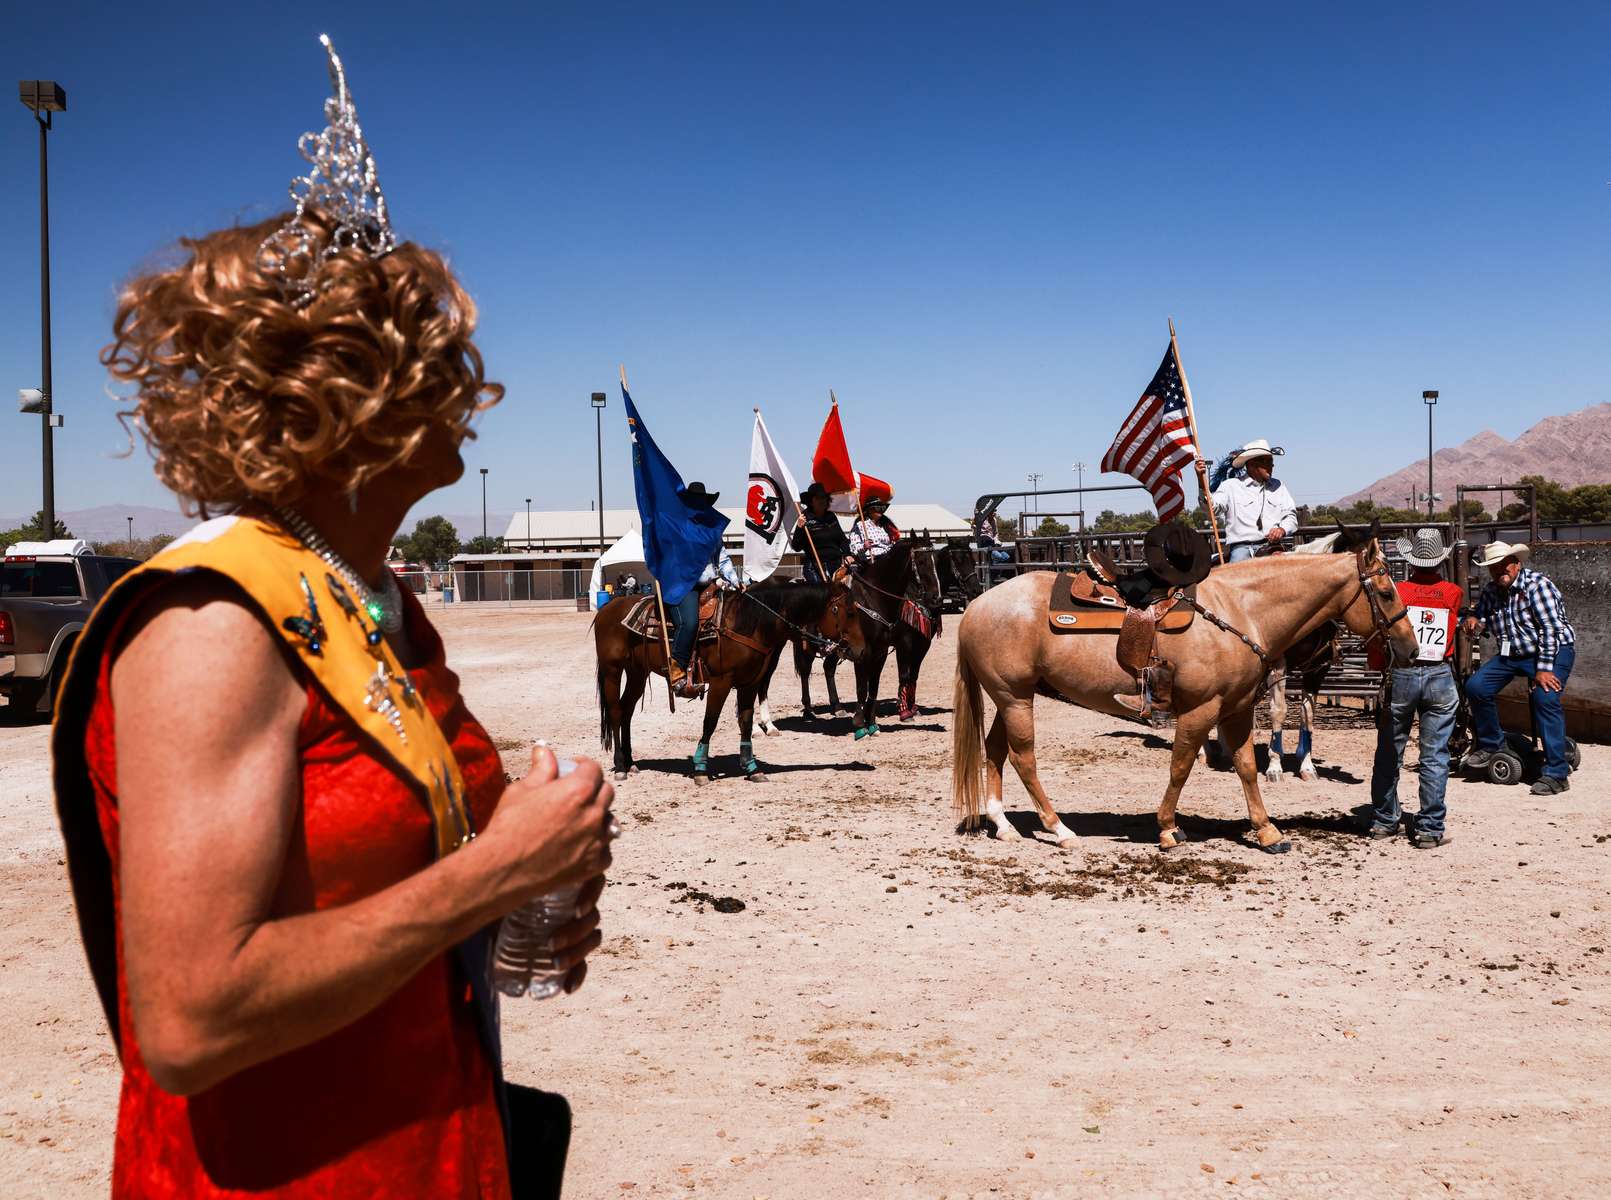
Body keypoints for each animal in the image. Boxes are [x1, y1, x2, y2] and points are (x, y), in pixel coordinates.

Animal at [596, 576, 869, 782]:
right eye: (850, 612)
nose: (861, 650)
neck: (748, 622)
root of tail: (607, 610)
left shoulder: (750, 682)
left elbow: (746, 722)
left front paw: (751, 767)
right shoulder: (721, 681)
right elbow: (710, 722)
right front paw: (700, 768)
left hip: (637, 673)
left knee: (627, 710)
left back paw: (630, 762)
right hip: (612, 670)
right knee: (616, 711)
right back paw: (620, 766)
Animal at [947, 525, 1417, 850]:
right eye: (1386, 592)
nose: (1411, 649)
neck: (1241, 611)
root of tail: (976, 606)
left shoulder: (1236, 708)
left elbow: (1246, 766)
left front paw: (1267, 831)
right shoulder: (1200, 709)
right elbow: (1181, 765)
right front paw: (1169, 828)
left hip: (1011, 697)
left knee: (995, 751)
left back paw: (1004, 825)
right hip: (1015, 698)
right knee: (1022, 758)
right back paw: (1060, 828)